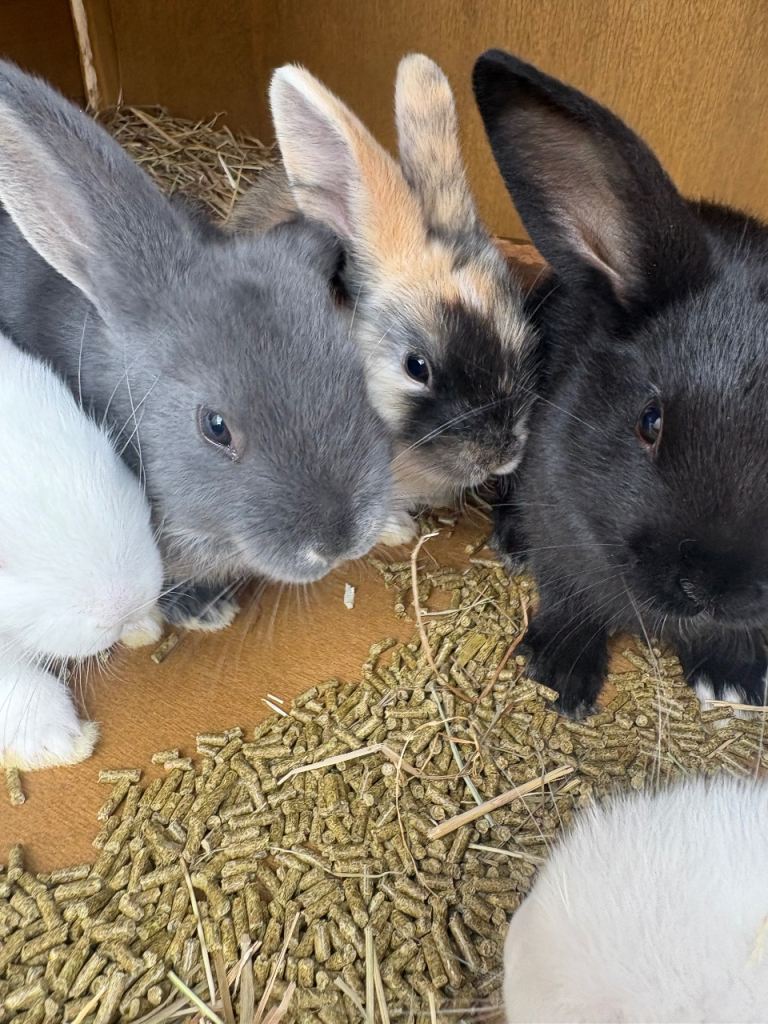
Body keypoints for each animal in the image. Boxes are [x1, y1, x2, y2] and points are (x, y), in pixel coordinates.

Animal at [472, 49, 768, 716]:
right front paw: (560, 676)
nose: (707, 587)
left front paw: (736, 680)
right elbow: (570, 600)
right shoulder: (559, 525)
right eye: (648, 422)